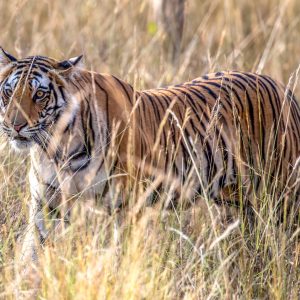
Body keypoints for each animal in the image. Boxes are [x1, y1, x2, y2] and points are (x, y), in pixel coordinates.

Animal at [0, 47, 298, 260]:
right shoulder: (46, 202)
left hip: (282, 193)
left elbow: (118, 253)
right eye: (9, 92)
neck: (58, 147)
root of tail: (282, 87)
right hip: (235, 201)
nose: (15, 125)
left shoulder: (124, 206)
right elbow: (34, 249)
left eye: (39, 94)